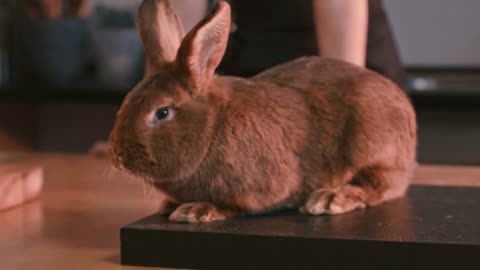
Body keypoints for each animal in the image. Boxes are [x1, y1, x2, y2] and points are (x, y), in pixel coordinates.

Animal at [109, 0, 416, 224]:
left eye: (162, 113)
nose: (118, 157)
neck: (212, 125)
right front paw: (170, 204)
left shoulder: (259, 188)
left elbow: (236, 206)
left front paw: (194, 210)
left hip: (373, 149)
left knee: (379, 186)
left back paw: (329, 198)